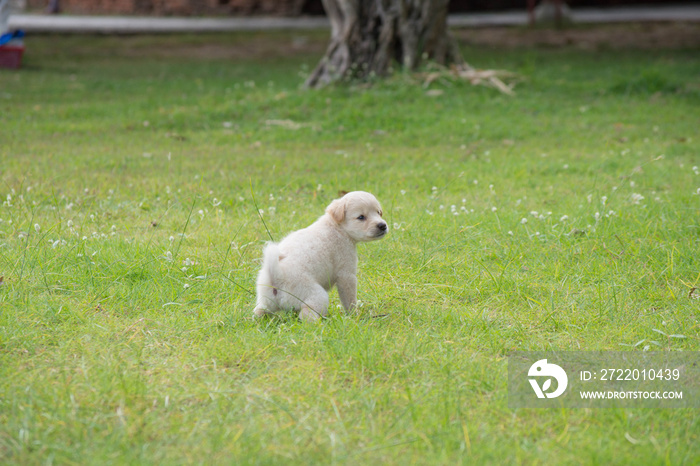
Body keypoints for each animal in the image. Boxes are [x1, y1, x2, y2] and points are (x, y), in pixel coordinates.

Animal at [253, 191, 388, 322]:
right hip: (317, 296)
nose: (383, 225)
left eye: (378, 212)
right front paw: (354, 315)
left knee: (259, 311)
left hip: (265, 302)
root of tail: (276, 276)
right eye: (361, 217)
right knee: (307, 316)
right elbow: (349, 299)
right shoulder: (346, 274)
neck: (337, 227)